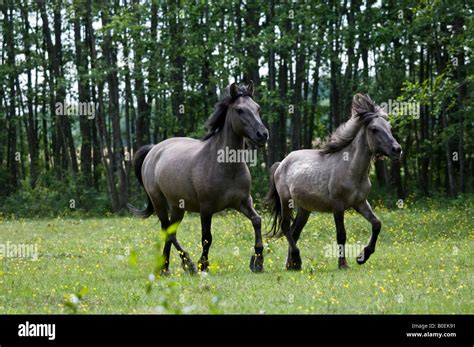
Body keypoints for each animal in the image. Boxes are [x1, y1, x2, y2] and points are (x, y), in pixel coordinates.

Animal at [126, 81, 268, 274]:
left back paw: (167, 267)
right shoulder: (206, 208)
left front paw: (258, 261)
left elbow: (257, 221)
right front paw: (203, 265)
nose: (263, 135)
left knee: (170, 231)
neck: (227, 167)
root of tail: (154, 149)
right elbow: (207, 237)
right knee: (167, 230)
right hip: (158, 201)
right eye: (239, 110)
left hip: (178, 206)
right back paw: (187, 263)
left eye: (257, 108)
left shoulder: (243, 202)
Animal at [266, 94, 400, 272]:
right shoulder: (338, 206)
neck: (351, 169)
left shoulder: (360, 203)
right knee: (286, 227)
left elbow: (377, 224)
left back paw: (292, 264)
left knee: (295, 232)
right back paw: (297, 260)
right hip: (286, 201)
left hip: (304, 209)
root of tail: (281, 164)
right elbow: (341, 234)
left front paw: (362, 257)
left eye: (389, 127)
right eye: (374, 129)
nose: (397, 150)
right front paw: (343, 264)